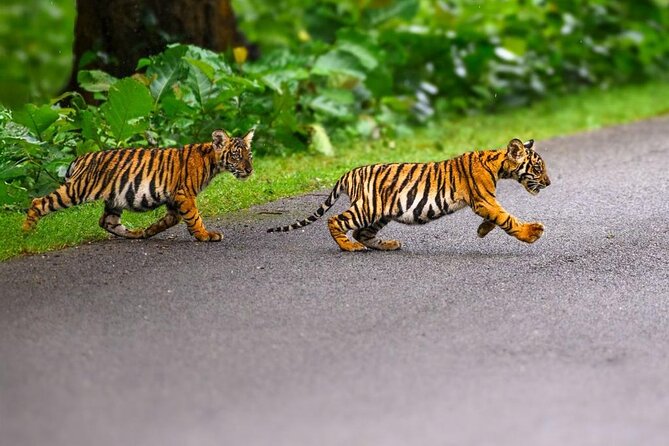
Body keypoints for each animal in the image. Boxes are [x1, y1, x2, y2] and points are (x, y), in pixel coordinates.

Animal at [23, 129, 254, 242]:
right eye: (236, 156)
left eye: (249, 155)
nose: (250, 170)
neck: (213, 163)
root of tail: (80, 158)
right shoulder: (184, 194)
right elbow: (194, 217)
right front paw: (205, 235)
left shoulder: (174, 199)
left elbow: (172, 219)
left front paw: (150, 230)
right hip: (76, 190)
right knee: (38, 202)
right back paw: (26, 234)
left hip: (113, 199)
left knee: (107, 222)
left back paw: (136, 234)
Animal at [267, 138, 550, 251]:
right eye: (538, 168)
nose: (548, 183)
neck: (499, 165)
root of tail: (349, 173)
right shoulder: (483, 200)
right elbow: (507, 218)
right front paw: (532, 234)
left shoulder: (486, 202)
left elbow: (498, 217)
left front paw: (482, 230)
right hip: (367, 208)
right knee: (335, 220)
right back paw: (349, 247)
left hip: (382, 212)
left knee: (362, 232)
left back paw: (388, 245)